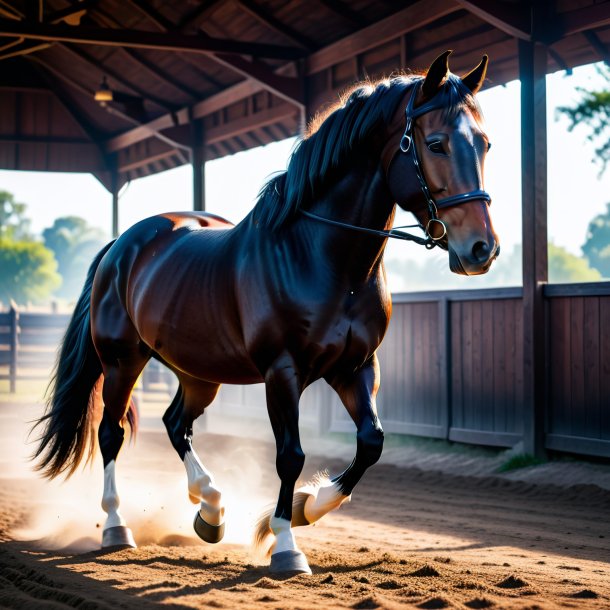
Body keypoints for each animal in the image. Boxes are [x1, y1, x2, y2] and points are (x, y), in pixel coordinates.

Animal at [33, 50, 496, 572]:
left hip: (200, 373)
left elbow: (371, 442)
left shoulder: (355, 367)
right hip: (121, 361)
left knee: (176, 424)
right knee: (110, 433)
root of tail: (122, 244)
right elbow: (290, 454)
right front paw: (287, 544)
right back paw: (117, 526)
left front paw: (305, 508)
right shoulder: (283, 372)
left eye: (484, 143)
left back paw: (211, 510)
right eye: (435, 144)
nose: (482, 249)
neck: (324, 259)